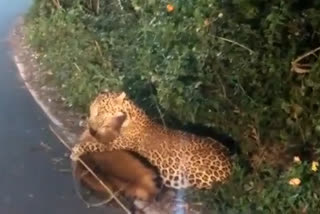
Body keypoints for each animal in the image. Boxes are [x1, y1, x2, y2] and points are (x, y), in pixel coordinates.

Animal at [72, 91, 232, 190]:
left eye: (100, 112)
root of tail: (230, 162)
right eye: (91, 109)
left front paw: (77, 150)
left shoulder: (114, 143)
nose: (92, 128)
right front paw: (84, 122)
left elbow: (94, 144)